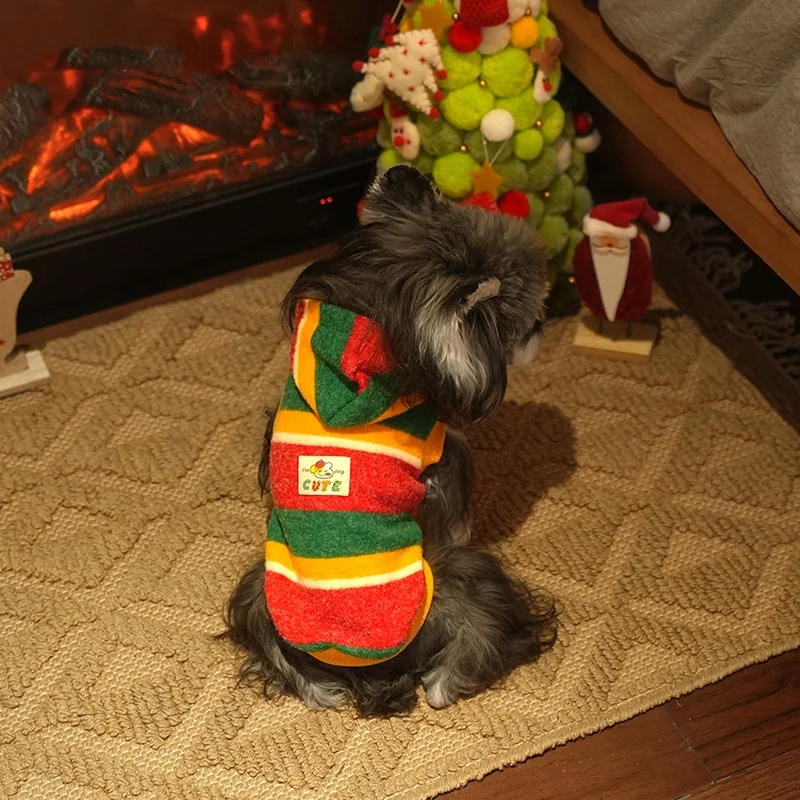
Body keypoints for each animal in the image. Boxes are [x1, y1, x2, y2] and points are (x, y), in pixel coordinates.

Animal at [223, 165, 556, 717]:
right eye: (525, 318)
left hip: (256, 593)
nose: (544, 328)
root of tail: (365, 669)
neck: (375, 318)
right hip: (465, 573)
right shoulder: (446, 457)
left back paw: (321, 691)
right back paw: (449, 679)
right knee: (466, 653)